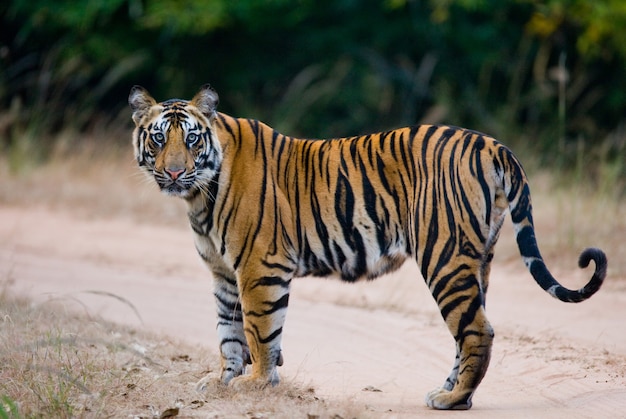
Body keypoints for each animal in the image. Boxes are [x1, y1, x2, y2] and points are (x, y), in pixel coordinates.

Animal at [128, 84, 604, 410]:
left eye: (191, 139)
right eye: (158, 138)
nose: (174, 173)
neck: (199, 196)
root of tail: (491, 143)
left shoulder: (260, 268)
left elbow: (259, 331)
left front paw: (256, 383)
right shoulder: (224, 274)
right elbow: (227, 332)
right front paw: (224, 381)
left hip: (444, 256)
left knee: (477, 329)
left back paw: (453, 400)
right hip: (477, 258)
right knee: (469, 328)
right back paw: (451, 392)